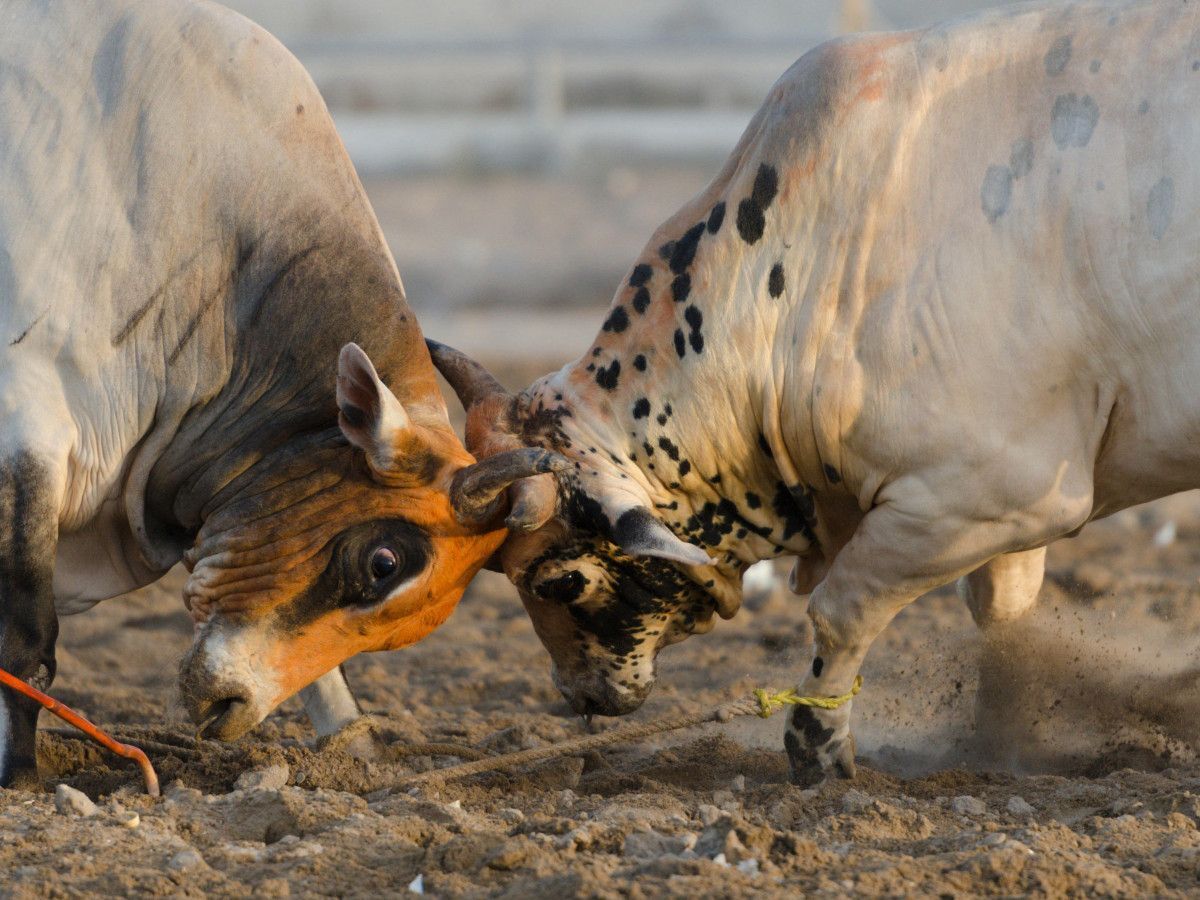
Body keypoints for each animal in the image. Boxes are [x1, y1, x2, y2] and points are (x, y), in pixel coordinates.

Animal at [0, 1, 552, 787]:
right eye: (384, 562)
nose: (229, 706)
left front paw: (354, 746)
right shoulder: (29, 431)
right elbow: (27, 646)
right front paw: (19, 776)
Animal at [432, 0, 1200, 787]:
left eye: (556, 580)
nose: (576, 695)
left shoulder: (989, 497)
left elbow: (841, 611)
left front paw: (817, 746)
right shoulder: (999, 522)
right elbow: (999, 616)